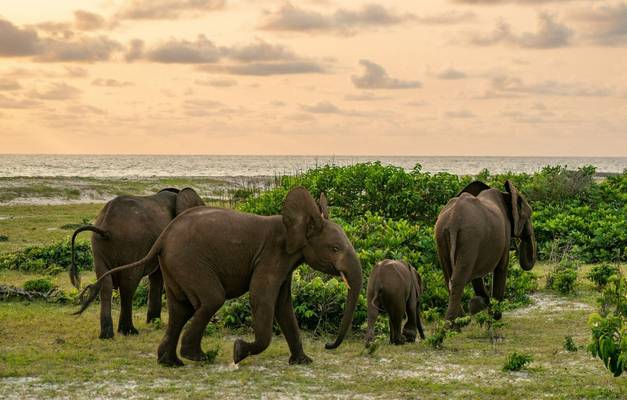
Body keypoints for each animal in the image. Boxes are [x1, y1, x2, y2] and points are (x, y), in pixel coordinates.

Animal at [71, 188, 204, 338]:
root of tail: (105, 228)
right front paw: (154, 322)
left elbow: (156, 277)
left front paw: (154, 322)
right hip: (131, 245)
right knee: (128, 285)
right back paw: (129, 331)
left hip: (99, 247)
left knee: (106, 284)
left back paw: (107, 335)